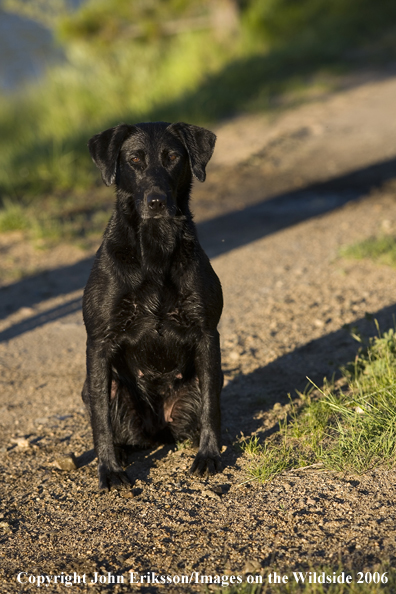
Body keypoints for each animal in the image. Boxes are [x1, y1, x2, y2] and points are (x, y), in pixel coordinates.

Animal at [81, 121, 223, 490]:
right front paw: (109, 469)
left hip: (203, 379)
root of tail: (158, 428)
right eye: (134, 159)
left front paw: (209, 455)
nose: (156, 201)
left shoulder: (207, 335)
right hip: (105, 387)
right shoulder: (99, 343)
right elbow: (101, 421)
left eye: (172, 157)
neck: (156, 245)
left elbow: (211, 408)